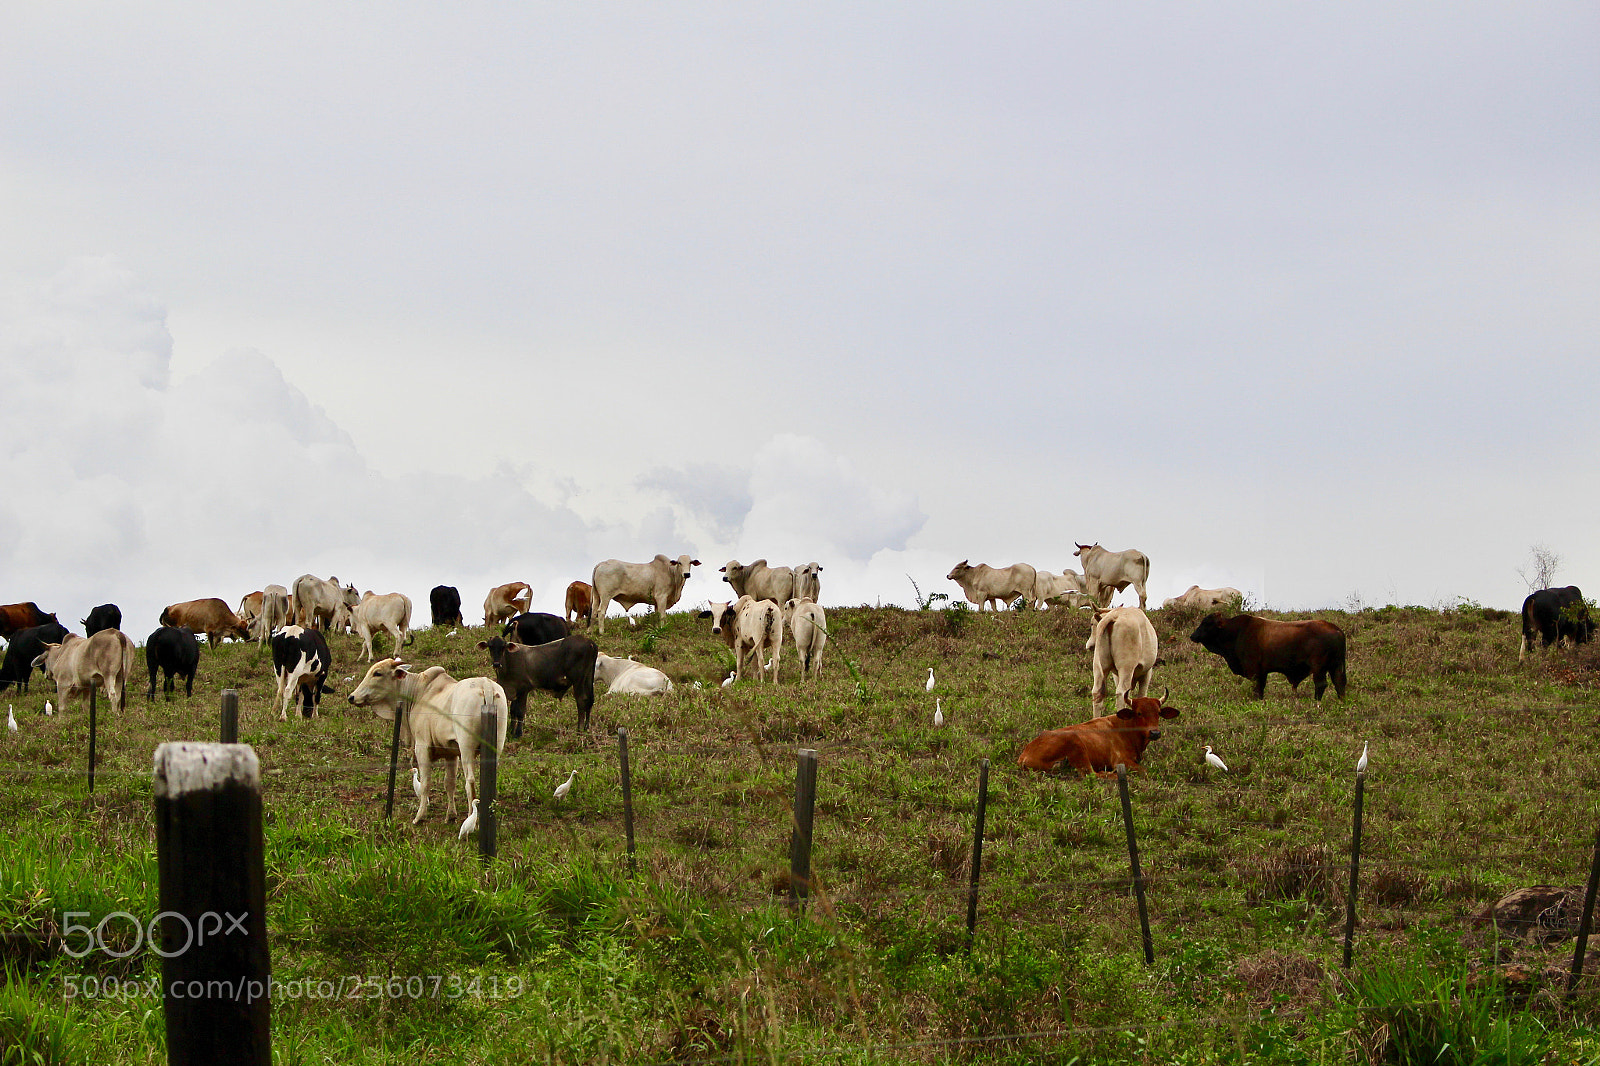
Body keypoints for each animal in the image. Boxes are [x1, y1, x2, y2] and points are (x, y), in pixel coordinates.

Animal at [348, 658, 509, 825]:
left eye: (377, 673)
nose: (352, 697)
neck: (417, 692)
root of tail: (486, 685)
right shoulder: (450, 753)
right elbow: (449, 783)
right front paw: (450, 815)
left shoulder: (422, 747)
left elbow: (425, 783)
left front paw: (419, 816)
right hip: (496, 746)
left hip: (466, 747)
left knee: (469, 781)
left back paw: (472, 818)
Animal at [1017, 694, 1181, 776]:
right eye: (1139, 713)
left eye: (1158, 713)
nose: (1155, 732)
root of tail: (1025, 754)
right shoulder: (1121, 761)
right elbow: (1144, 771)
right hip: (1076, 746)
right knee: (1092, 774)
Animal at [1190, 612, 1348, 700]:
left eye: (1207, 623)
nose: (1193, 636)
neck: (1237, 632)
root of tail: (1336, 629)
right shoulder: (1262, 672)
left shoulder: (1254, 671)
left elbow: (1256, 688)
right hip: (1335, 666)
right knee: (1339, 683)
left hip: (1319, 668)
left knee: (1321, 684)